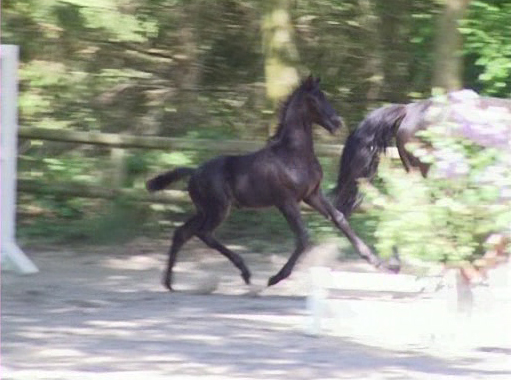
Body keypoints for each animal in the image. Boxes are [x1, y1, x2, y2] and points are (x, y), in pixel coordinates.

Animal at [146, 76, 390, 290]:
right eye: (315, 99)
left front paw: (381, 263)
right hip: (218, 209)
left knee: (182, 233)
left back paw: (169, 283)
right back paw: (244, 272)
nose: (338, 123)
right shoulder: (286, 201)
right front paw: (276, 277)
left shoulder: (312, 195)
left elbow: (339, 218)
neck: (293, 153)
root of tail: (194, 171)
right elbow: (303, 237)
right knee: (204, 234)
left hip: (204, 210)